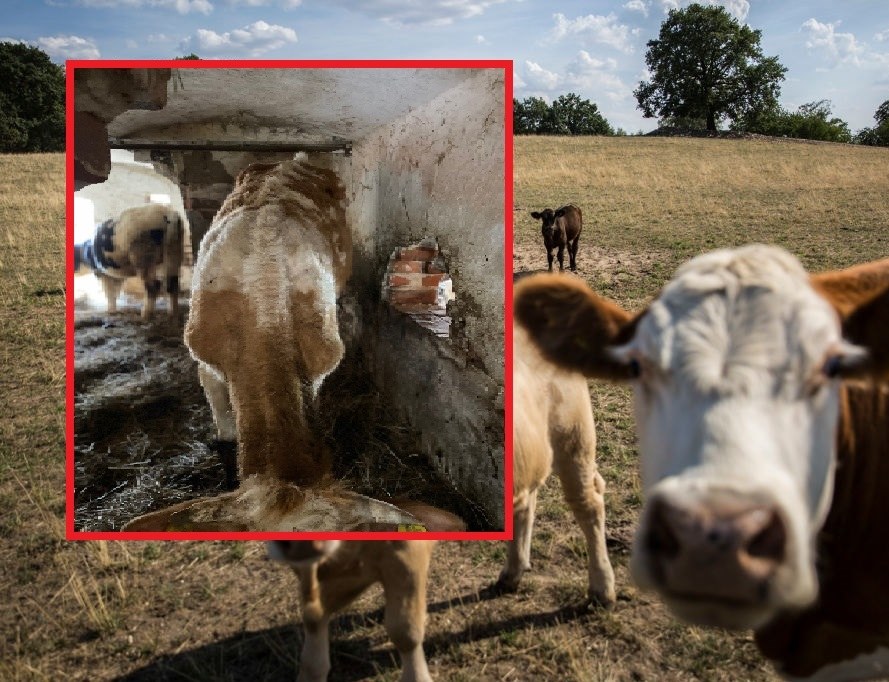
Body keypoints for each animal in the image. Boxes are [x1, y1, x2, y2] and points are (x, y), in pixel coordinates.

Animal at [512, 246, 888, 680]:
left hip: (572, 435)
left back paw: (599, 587)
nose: (713, 538)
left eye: (832, 366)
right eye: (638, 365)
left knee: (586, 502)